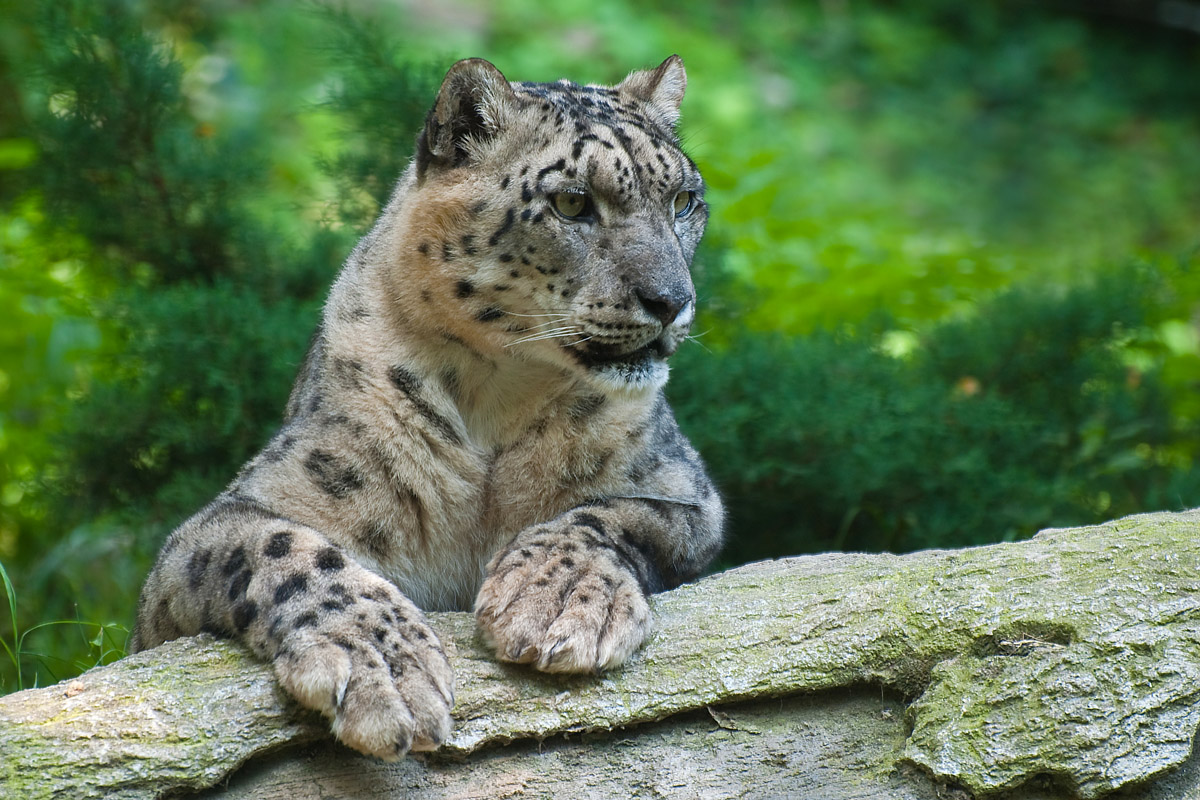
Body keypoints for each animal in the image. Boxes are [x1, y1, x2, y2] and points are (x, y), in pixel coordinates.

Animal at [130, 55, 724, 760]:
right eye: (573, 202)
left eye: (683, 200)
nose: (672, 300)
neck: (496, 394)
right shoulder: (217, 531)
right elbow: (282, 547)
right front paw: (384, 665)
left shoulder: (686, 488)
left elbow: (618, 513)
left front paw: (558, 596)